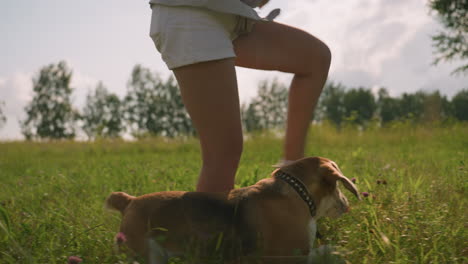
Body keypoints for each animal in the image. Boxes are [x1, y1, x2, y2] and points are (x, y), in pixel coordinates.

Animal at [106, 157, 358, 262]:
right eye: (338, 185)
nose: (347, 203)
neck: (298, 191)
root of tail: (129, 201)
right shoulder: (289, 257)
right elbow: (329, 250)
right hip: (148, 256)